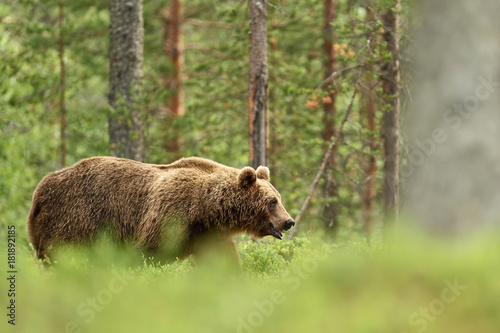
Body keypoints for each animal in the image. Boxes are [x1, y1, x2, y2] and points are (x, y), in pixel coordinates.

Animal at [26, 157, 292, 264]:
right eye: (272, 201)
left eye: (279, 198)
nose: (289, 221)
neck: (207, 209)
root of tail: (39, 189)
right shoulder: (171, 214)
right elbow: (149, 252)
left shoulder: (209, 234)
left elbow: (223, 260)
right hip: (74, 219)